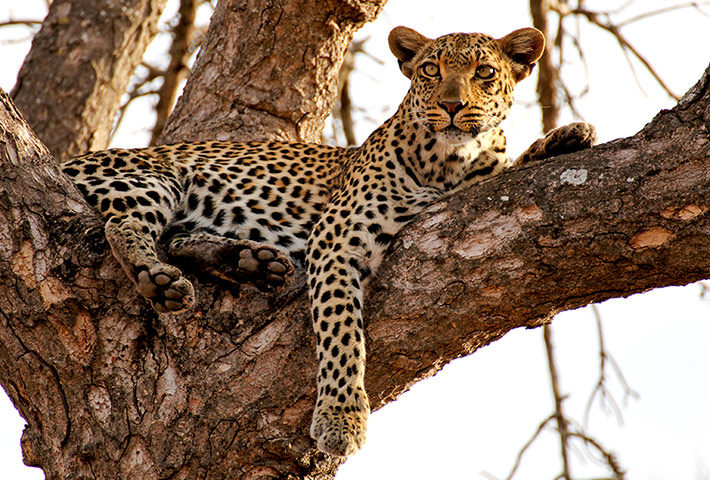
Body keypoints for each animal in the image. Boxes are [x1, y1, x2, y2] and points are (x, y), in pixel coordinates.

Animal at [62, 26, 596, 457]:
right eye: (431, 69)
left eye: (484, 73)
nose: (451, 106)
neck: (450, 164)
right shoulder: (338, 240)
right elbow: (342, 336)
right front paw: (341, 419)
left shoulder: (481, 183)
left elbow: (511, 167)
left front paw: (564, 138)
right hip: (158, 175)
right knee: (124, 225)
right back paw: (158, 277)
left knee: (175, 238)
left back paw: (248, 260)